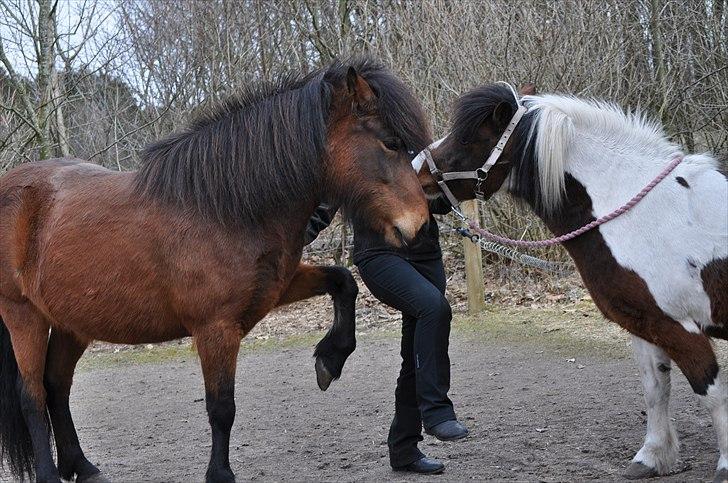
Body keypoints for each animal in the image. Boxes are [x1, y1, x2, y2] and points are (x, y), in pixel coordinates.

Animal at [0, 59, 432, 483]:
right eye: (390, 142)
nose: (419, 225)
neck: (224, 209)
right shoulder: (216, 328)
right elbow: (222, 407)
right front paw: (220, 474)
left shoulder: (276, 289)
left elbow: (343, 282)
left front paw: (331, 357)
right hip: (24, 315)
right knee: (32, 396)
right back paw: (49, 474)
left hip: (72, 322)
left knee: (57, 387)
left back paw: (83, 467)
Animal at [420, 85, 728, 482]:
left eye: (466, 137)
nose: (415, 171)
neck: (645, 215)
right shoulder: (648, 324)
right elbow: (655, 387)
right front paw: (652, 456)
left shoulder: (682, 328)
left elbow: (711, 392)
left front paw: (725, 464)